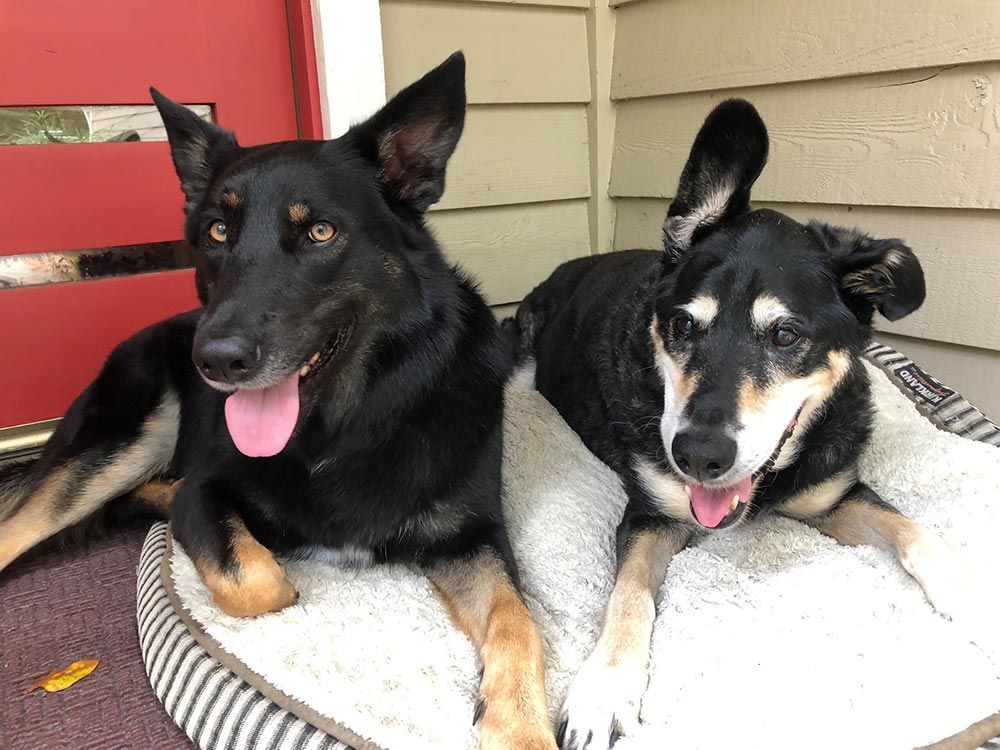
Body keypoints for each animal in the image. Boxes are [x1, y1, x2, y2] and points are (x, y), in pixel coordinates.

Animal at [0, 53, 560, 750]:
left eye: (320, 231)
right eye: (217, 231)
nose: (215, 362)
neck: (346, 424)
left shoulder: (473, 536)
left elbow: (517, 617)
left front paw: (521, 727)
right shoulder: (207, 493)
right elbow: (262, 584)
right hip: (118, 441)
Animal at [516, 100, 968, 750]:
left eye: (785, 335)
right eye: (682, 325)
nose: (698, 456)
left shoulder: (833, 496)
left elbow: (910, 528)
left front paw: (967, 588)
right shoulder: (652, 516)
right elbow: (629, 596)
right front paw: (603, 690)